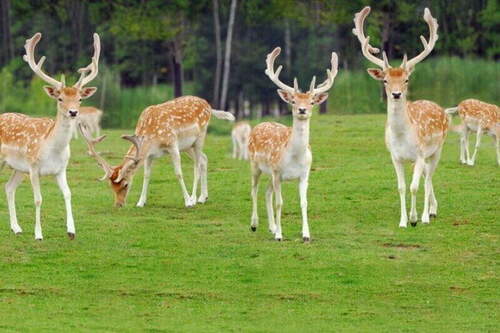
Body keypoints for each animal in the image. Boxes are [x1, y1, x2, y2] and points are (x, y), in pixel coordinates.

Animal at [0, 31, 100, 239]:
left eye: (80, 98)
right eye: (60, 98)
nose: (73, 112)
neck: (52, 149)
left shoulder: (60, 169)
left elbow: (68, 194)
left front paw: (71, 231)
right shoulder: (33, 168)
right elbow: (38, 199)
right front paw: (38, 234)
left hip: (18, 168)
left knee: (8, 187)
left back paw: (16, 228)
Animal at [78, 94, 234, 206]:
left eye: (125, 184)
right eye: (111, 186)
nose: (119, 204)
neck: (151, 138)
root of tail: (208, 105)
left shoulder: (172, 145)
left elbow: (178, 173)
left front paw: (187, 201)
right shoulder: (149, 155)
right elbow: (147, 175)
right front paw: (140, 202)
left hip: (200, 137)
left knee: (197, 164)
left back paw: (194, 199)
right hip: (187, 146)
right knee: (204, 159)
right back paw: (203, 197)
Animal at [248, 46, 338, 240]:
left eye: (312, 101)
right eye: (294, 101)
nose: (302, 110)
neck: (295, 157)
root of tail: (259, 124)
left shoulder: (304, 174)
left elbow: (304, 202)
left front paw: (306, 234)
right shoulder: (277, 173)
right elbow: (280, 203)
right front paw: (279, 236)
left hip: (270, 173)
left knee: (266, 192)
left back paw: (272, 227)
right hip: (255, 164)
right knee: (254, 189)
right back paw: (254, 224)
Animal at [352, 6, 450, 227]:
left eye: (406, 80)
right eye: (385, 80)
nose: (396, 94)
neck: (403, 137)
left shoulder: (420, 154)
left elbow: (415, 186)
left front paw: (415, 219)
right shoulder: (395, 157)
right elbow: (402, 187)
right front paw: (403, 221)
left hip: (437, 149)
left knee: (428, 179)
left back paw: (428, 215)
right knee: (426, 177)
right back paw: (432, 210)